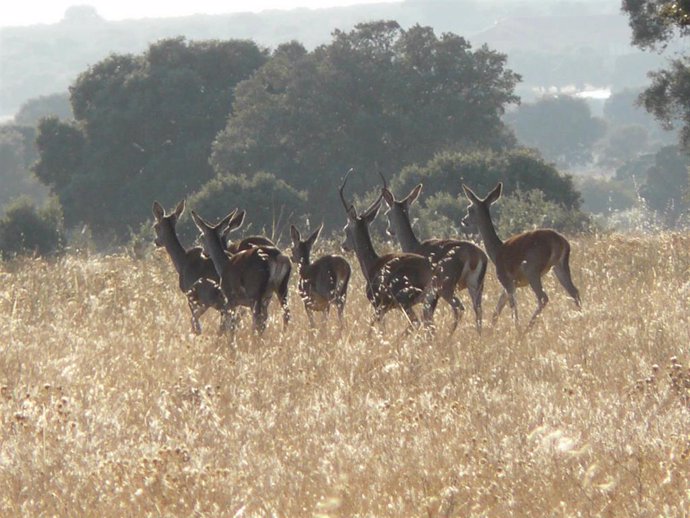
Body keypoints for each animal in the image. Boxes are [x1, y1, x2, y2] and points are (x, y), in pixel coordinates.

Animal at [338, 171, 438, 334]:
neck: (371, 264)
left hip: (405, 300)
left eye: (346, 229)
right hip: (428, 302)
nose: (343, 246)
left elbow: (375, 329)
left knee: (416, 323)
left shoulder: (379, 304)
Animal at [378, 183, 486, 338]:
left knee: (459, 308)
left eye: (387, 213)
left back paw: (448, 336)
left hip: (447, 288)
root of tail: (475, 255)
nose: (390, 230)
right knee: (478, 311)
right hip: (476, 287)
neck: (415, 246)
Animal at [460, 185, 576, 336]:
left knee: (543, 297)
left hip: (532, 269)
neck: (496, 252)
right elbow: (497, 309)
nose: (464, 220)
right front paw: (490, 332)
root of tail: (560, 242)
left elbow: (512, 306)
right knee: (574, 291)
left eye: (470, 208)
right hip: (560, 266)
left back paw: (527, 329)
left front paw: (517, 330)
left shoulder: (506, 279)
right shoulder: (510, 284)